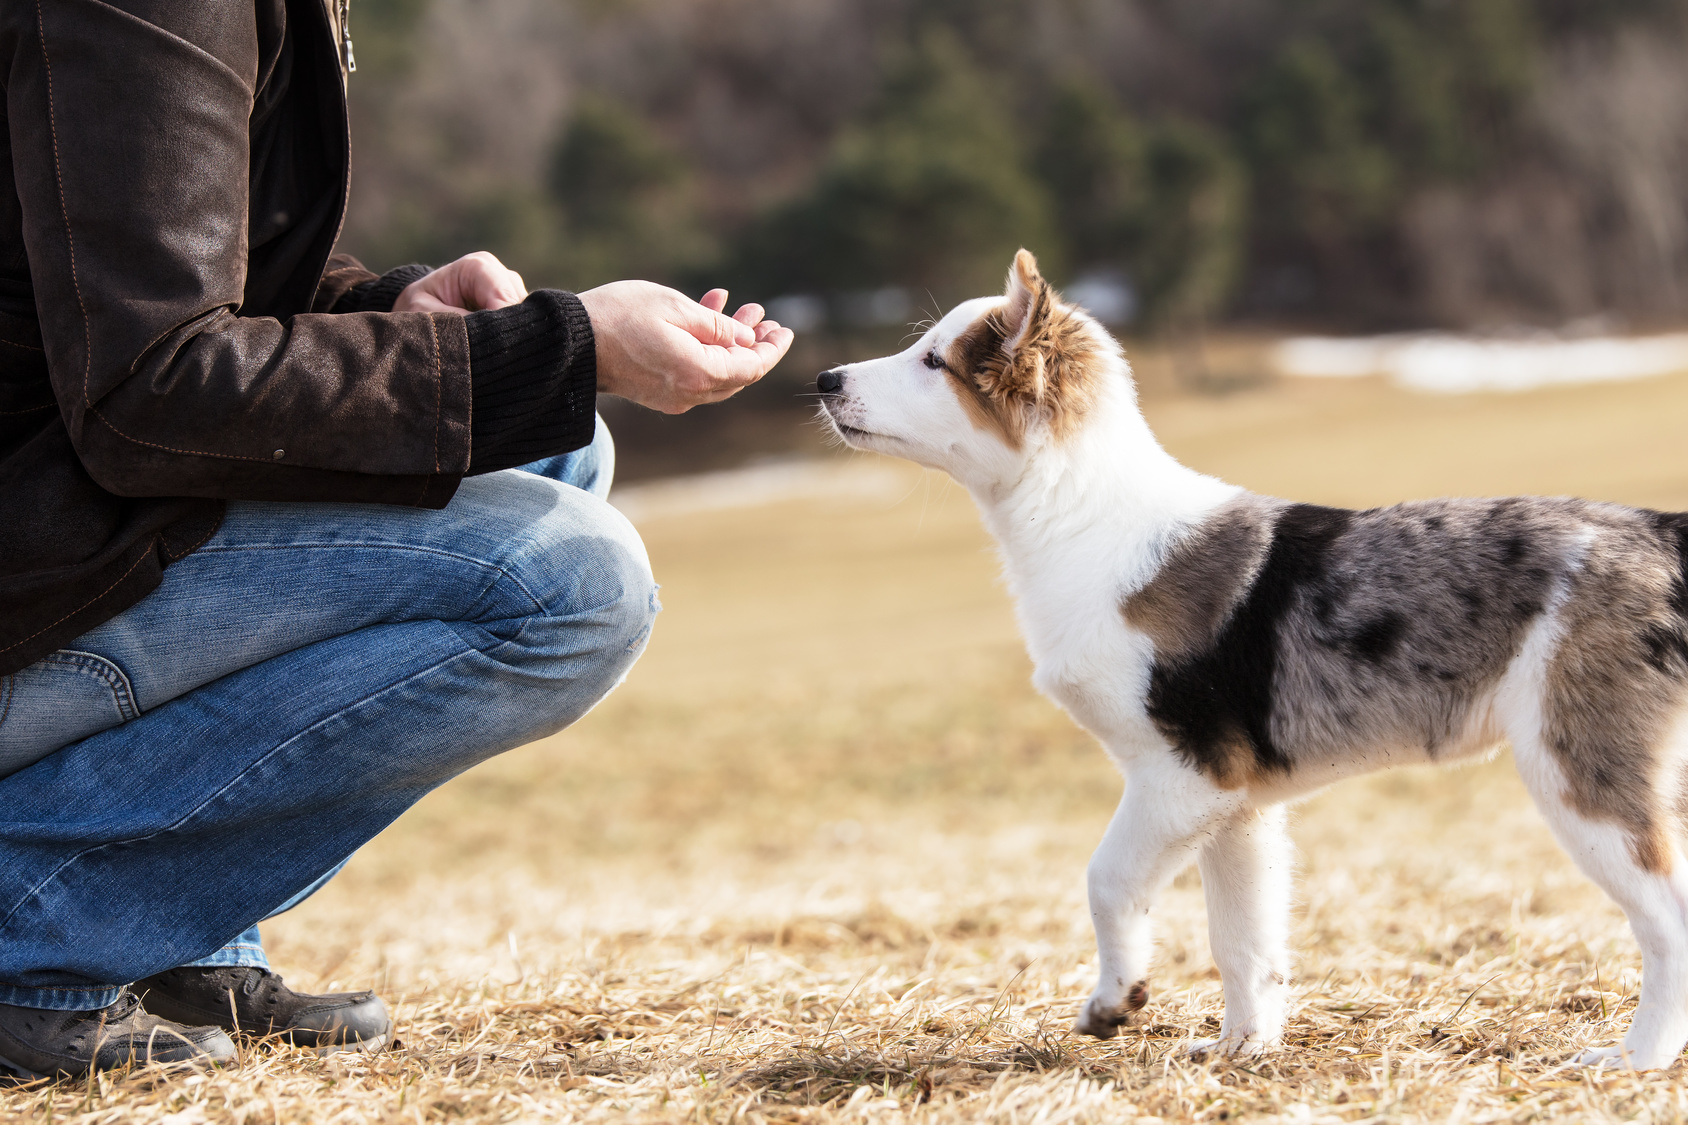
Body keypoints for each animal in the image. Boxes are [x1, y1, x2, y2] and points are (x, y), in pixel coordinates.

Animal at [816, 250, 1688, 1067]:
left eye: (935, 361)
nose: (824, 378)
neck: (1081, 517)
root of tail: (1660, 533)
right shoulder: (1238, 806)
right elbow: (1244, 937)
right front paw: (1244, 1046)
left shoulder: (1180, 775)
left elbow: (1108, 879)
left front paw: (1115, 1001)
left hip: (1579, 769)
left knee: (1669, 920)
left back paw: (1634, 1058)